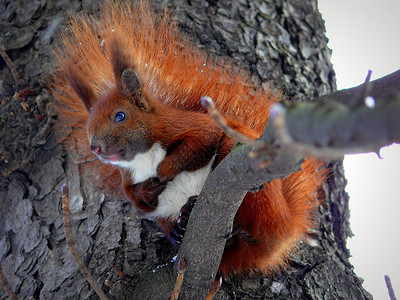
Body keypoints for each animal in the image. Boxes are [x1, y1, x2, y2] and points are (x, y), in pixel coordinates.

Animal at [51, 1, 326, 276]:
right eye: (88, 126)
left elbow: (198, 143)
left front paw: (162, 173)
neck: (143, 157)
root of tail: (285, 227)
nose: (95, 147)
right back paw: (180, 228)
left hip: (258, 195)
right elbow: (135, 198)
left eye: (120, 115)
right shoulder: (127, 178)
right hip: (167, 215)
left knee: (252, 225)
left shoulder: (191, 126)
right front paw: (148, 189)